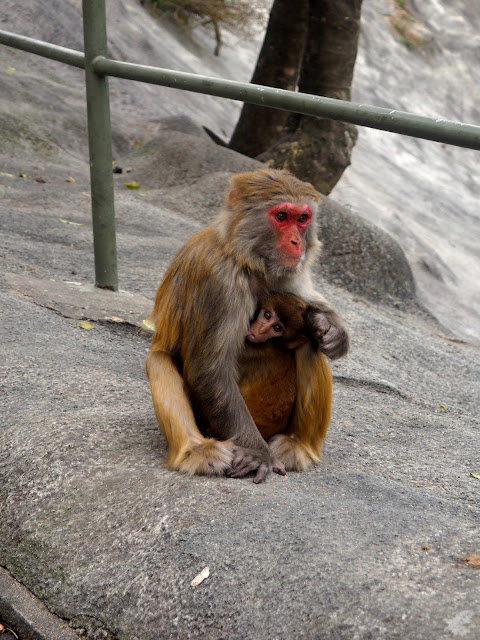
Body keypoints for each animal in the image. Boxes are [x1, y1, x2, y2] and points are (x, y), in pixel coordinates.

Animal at [144, 168, 346, 482]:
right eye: (282, 216)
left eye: (303, 218)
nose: (297, 243)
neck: (245, 258)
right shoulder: (219, 282)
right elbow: (209, 370)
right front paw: (257, 453)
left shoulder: (287, 272)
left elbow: (310, 308)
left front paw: (333, 329)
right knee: (159, 361)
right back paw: (196, 450)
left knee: (309, 344)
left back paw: (300, 446)